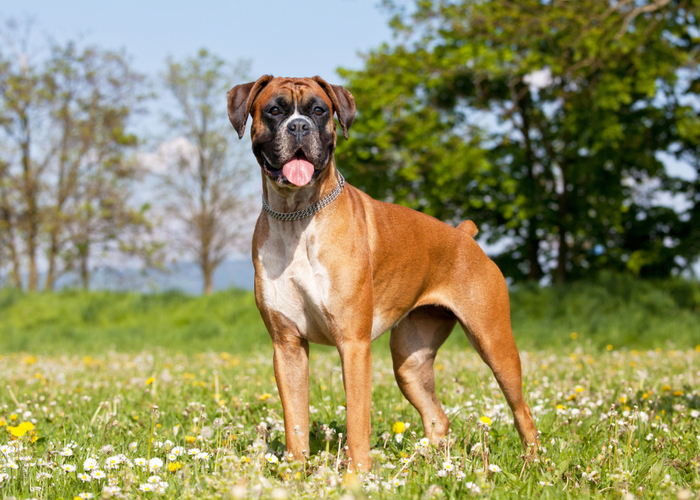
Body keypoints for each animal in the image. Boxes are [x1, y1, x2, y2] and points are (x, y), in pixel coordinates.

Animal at [227, 76, 540, 470]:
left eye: (319, 111)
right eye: (274, 110)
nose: (299, 126)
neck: (296, 216)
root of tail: (463, 236)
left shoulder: (353, 345)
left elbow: (357, 421)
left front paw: (357, 475)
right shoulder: (287, 347)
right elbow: (295, 421)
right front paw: (295, 473)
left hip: (495, 344)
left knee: (522, 411)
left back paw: (534, 464)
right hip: (410, 362)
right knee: (437, 417)